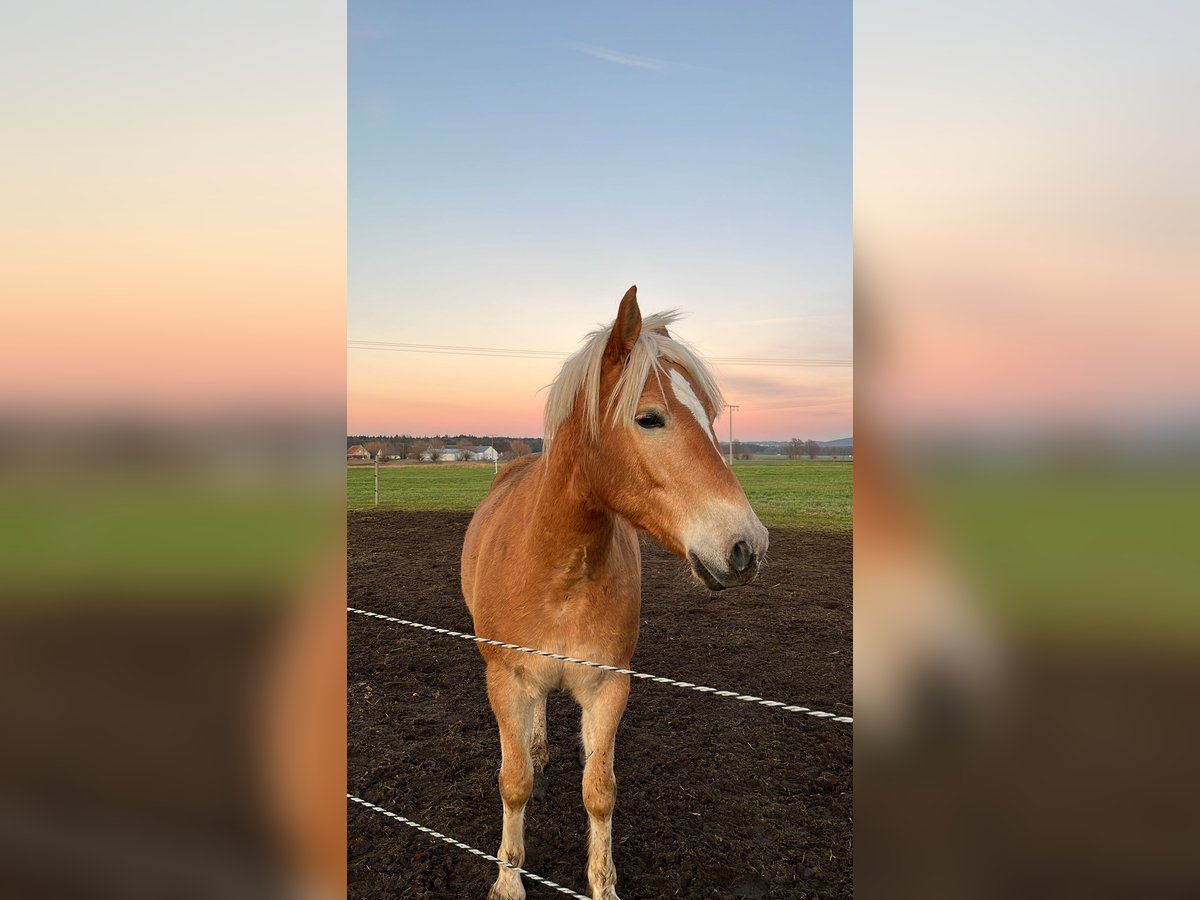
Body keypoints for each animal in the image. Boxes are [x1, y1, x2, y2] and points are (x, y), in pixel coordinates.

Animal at [458, 286, 768, 900]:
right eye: (649, 418)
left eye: (712, 416)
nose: (747, 545)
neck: (557, 572)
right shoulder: (507, 680)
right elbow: (513, 782)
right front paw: (508, 880)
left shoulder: (608, 688)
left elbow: (599, 791)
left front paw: (603, 885)